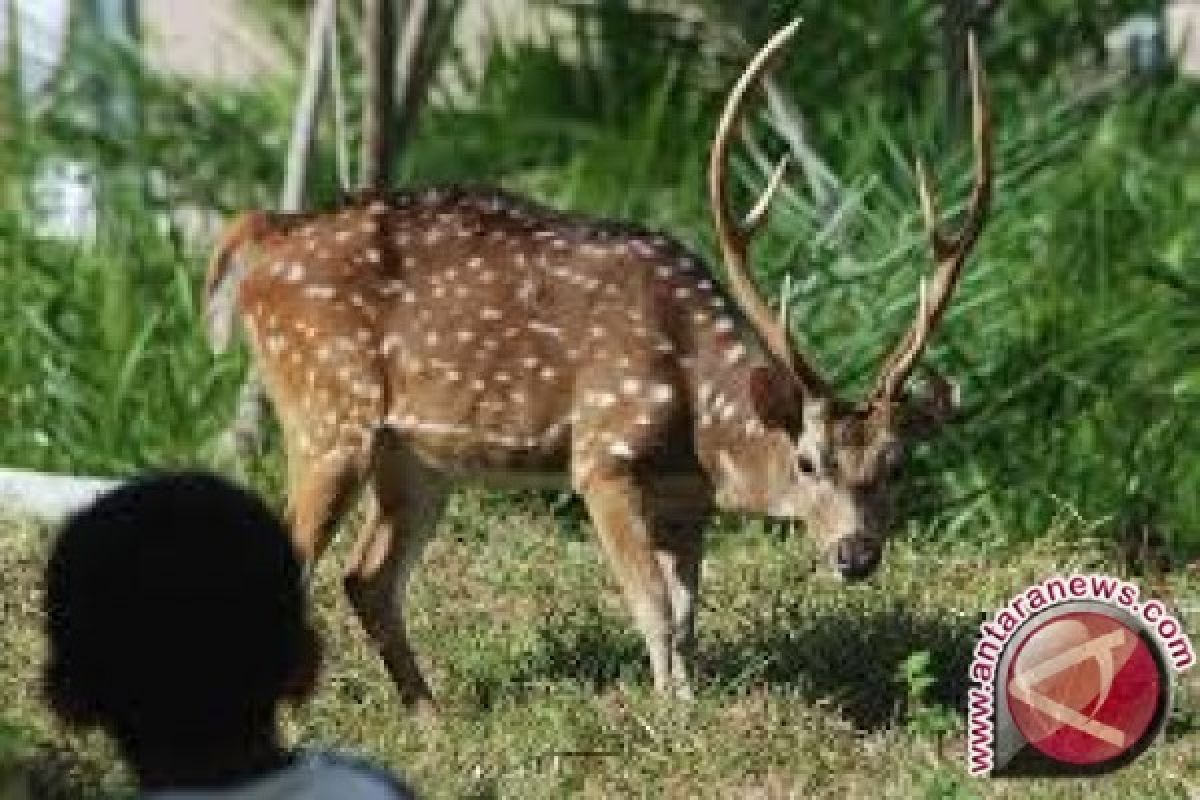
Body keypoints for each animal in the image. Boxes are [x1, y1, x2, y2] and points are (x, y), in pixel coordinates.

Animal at [206, 20, 993, 705]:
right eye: (807, 461)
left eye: (898, 465)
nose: (856, 556)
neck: (699, 425)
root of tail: (260, 238)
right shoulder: (603, 457)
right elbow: (652, 605)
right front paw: (675, 717)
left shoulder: (687, 502)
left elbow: (687, 615)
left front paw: (685, 698)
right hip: (324, 407)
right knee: (301, 558)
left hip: (417, 458)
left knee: (366, 578)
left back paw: (431, 714)